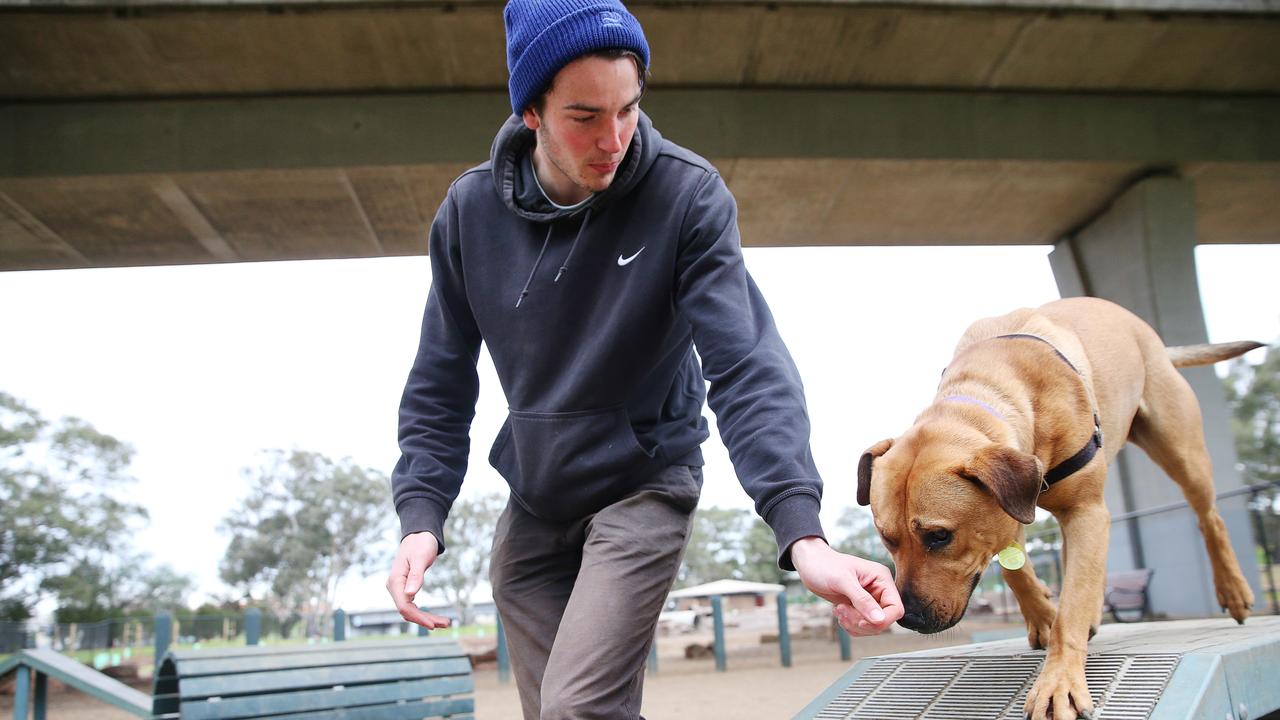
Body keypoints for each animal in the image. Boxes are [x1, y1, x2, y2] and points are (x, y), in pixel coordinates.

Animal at [855, 295, 1254, 717]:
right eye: (887, 539)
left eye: (938, 536)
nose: (909, 617)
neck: (993, 386)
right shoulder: (1011, 508)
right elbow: (1015, 570)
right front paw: (1044, 615)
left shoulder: (1083, 511)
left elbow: (1072, 602)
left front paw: (1059, 681)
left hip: (1181, 453)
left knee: (1210, 518)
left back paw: (1233, 589)